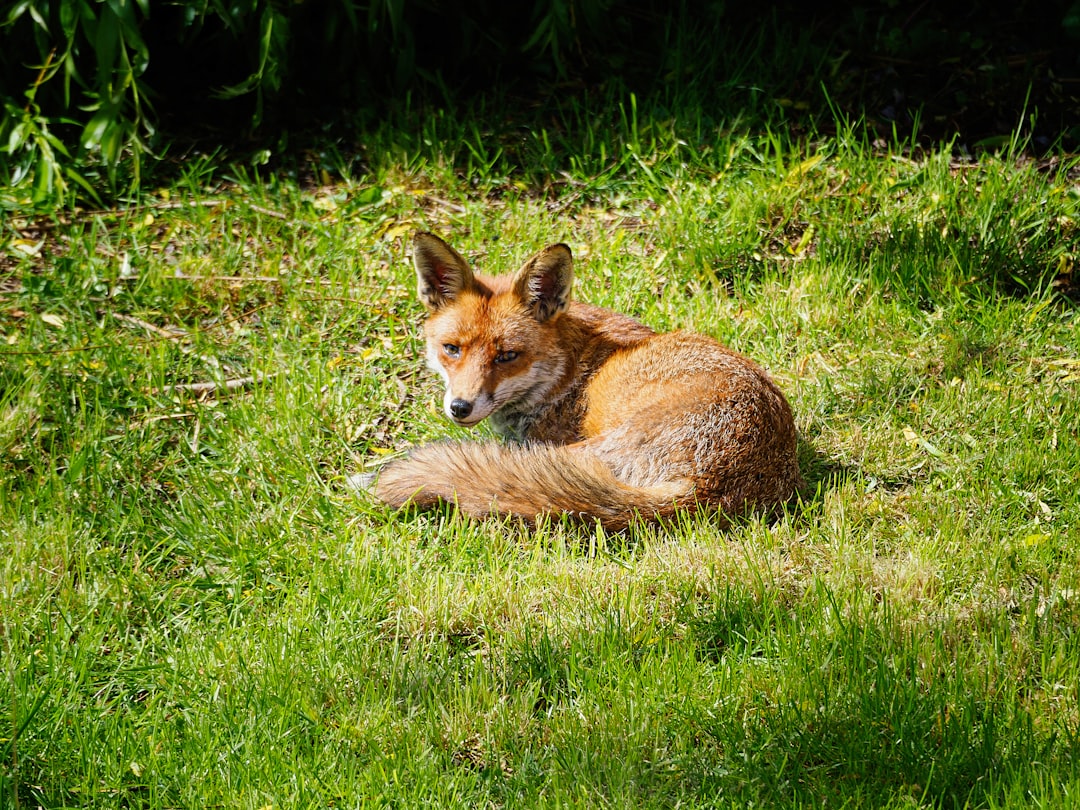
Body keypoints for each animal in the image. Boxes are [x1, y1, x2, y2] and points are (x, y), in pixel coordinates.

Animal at [371, 230, 803, 533]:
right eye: (452, 349)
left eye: (507, 356)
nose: (460, 407)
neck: (566, 373)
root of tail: (709, 489)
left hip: (581, 451)